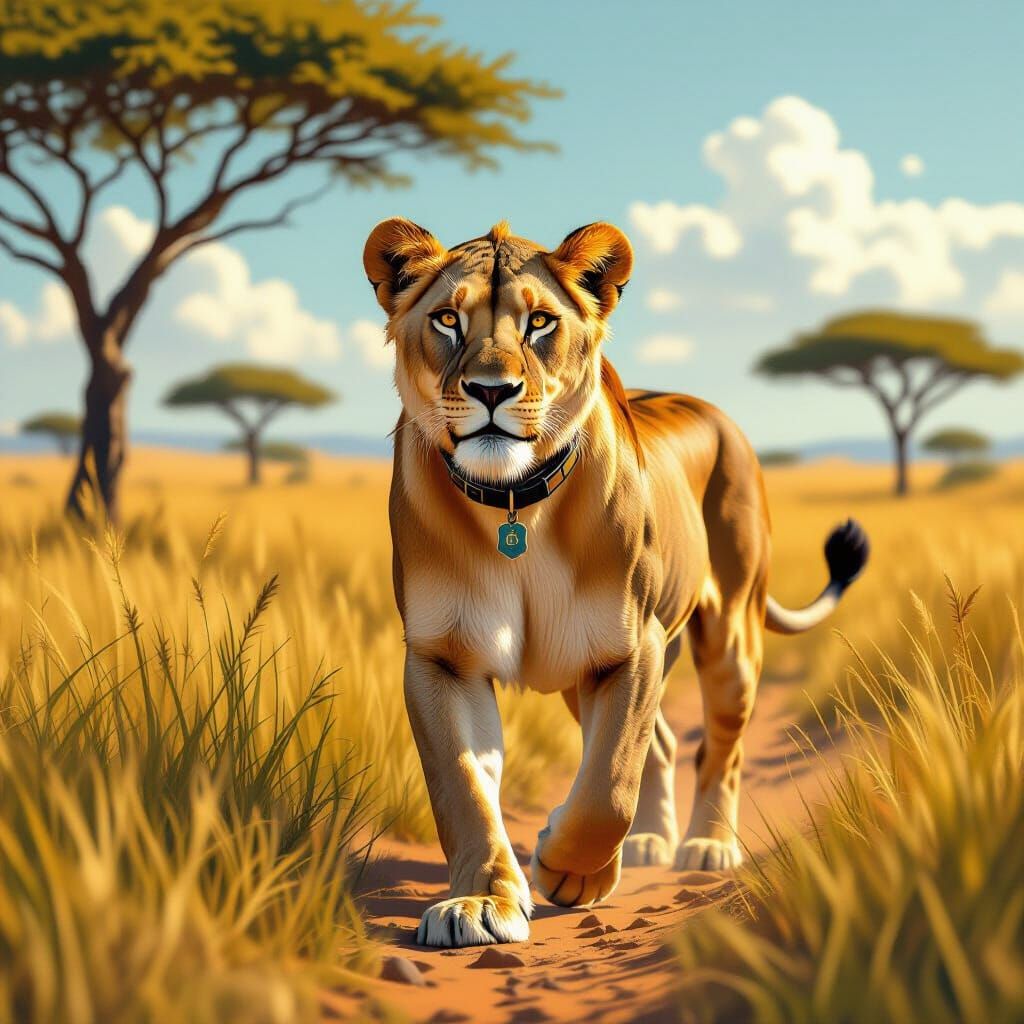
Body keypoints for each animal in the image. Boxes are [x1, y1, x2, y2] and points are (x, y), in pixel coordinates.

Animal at [362, 218, 869, 949]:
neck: (514, 505)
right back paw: (653, 843)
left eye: (540, 322)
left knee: (720, 747)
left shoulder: (630, 647)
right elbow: (463, 787)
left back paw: (707, 846)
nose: (491, 390)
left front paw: (568, 867)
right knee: (662, 742)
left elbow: (609, 783)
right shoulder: (441, 658)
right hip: (581, 680)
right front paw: (482, 902)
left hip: (729, 638)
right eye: (447, 320)